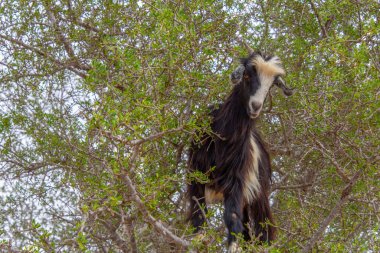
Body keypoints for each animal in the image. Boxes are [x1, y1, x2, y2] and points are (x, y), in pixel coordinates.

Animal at [186, 48, 292, 252]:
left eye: (270, 86)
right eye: (247, 75)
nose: (255, 106)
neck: (222, 138)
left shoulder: (236, 181)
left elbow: (232, 217)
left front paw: (232, 246)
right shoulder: (195, 173)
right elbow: (198, 212)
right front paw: (198, 239)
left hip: (258, 192)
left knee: (263, 227)